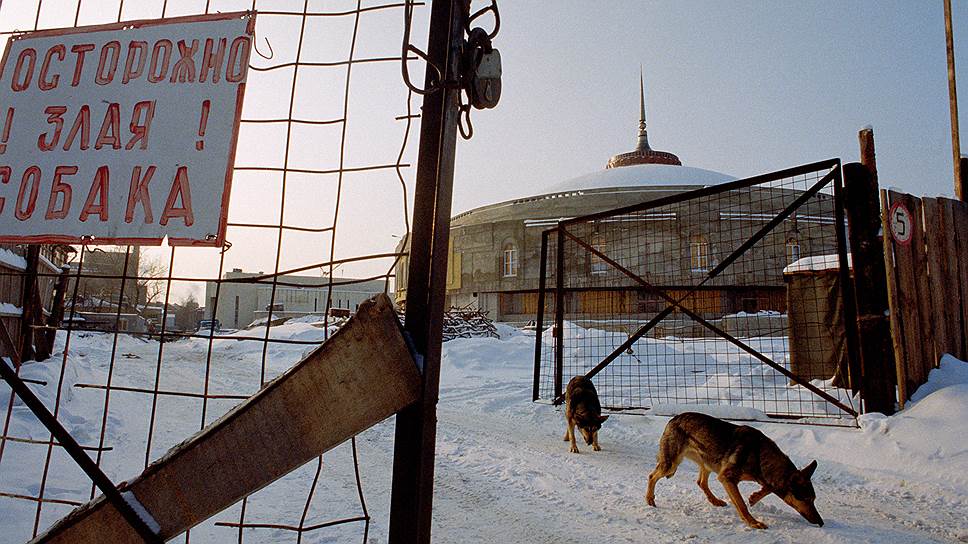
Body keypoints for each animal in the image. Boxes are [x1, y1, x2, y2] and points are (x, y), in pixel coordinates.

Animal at [648, 412, 820, 528]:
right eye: (806, 499)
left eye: (814, 499)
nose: (821, 522)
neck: (759, 455)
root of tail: (674, 418)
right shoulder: (727, 478)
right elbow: (742, 505)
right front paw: (753, 523)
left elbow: (768, 487)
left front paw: (755, 497)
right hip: (672, 464)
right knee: (651, 476)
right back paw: (649, 499)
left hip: (708, 462)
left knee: (701, 482)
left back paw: (715, 501)